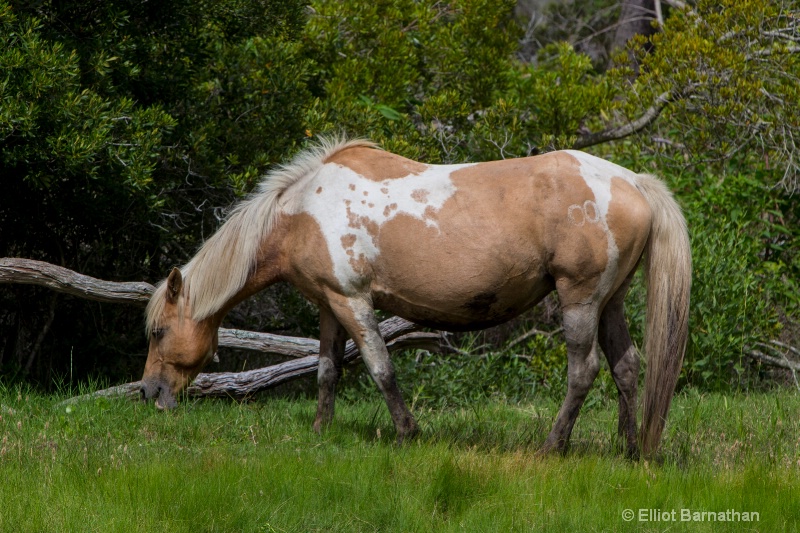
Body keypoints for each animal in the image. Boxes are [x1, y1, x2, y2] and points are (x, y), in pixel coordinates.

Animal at [141, 136, 692, 458]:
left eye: (159, 331)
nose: (148, 393)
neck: (303, 212)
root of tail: (634, 181)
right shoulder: (329, 305)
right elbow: (326, 371)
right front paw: (320, 431)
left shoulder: (354, 301)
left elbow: (381, 368)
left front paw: (408, 433)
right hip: (610, 302)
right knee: (626, 366)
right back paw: (631, 449)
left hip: (580, 300)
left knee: (584, 371)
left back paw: (551, 447)